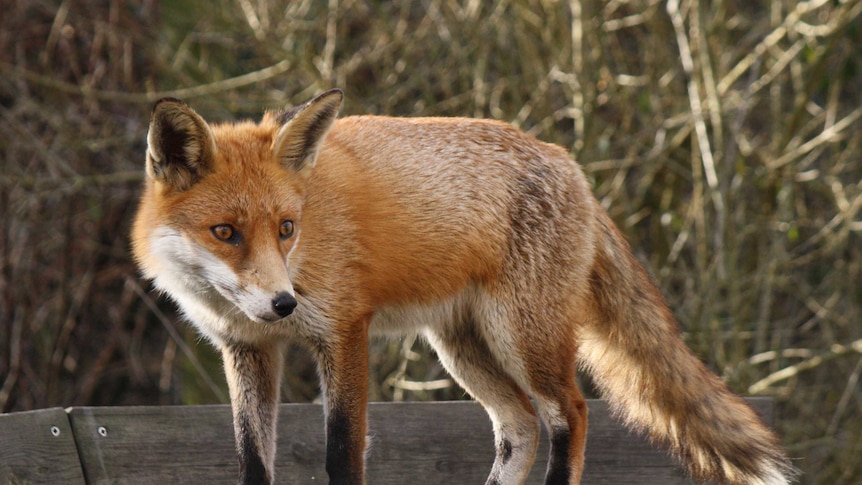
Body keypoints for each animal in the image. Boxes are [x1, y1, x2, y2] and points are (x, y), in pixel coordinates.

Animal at [131, 88, 796, 485]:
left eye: (286, 228)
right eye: (225, 232)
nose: (283, 302)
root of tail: (569, 164)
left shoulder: (343, 331)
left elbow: (341, 453)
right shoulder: (247, 349)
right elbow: (251, 459)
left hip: (522, 337)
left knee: (571, 414)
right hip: (462, 347)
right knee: (520, 428)